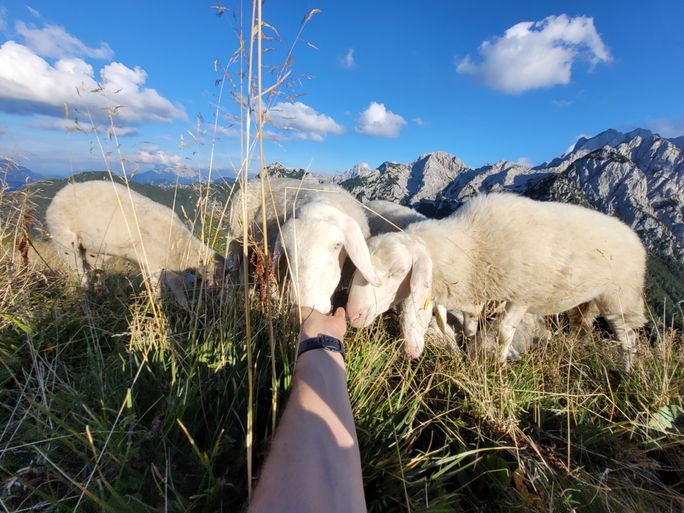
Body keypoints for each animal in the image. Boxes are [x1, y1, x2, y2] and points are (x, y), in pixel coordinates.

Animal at [46, 181, 223, 308]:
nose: (216, 294)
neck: (181, 246)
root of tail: (58, 195)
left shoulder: (163, 265)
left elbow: (176, 285)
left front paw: (184, 305)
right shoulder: (154, 264)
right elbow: (159, 289)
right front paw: (159, 307)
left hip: (93, 251)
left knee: (96, 270)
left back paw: (102, 292)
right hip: (66, 243)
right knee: (80, 272)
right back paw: (85, 296)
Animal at [348, 194, 648, 370]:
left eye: (398, 271)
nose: (353, 314)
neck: (472, 244)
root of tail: (633, 235)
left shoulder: (520, 296)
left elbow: (504, 332)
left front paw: (499, 368)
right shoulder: (470, 295)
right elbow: (462, 328)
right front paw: (465, 355)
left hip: (620, 298)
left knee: (629, 339)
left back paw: (627, 372)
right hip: (589, 303)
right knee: (583, 328)